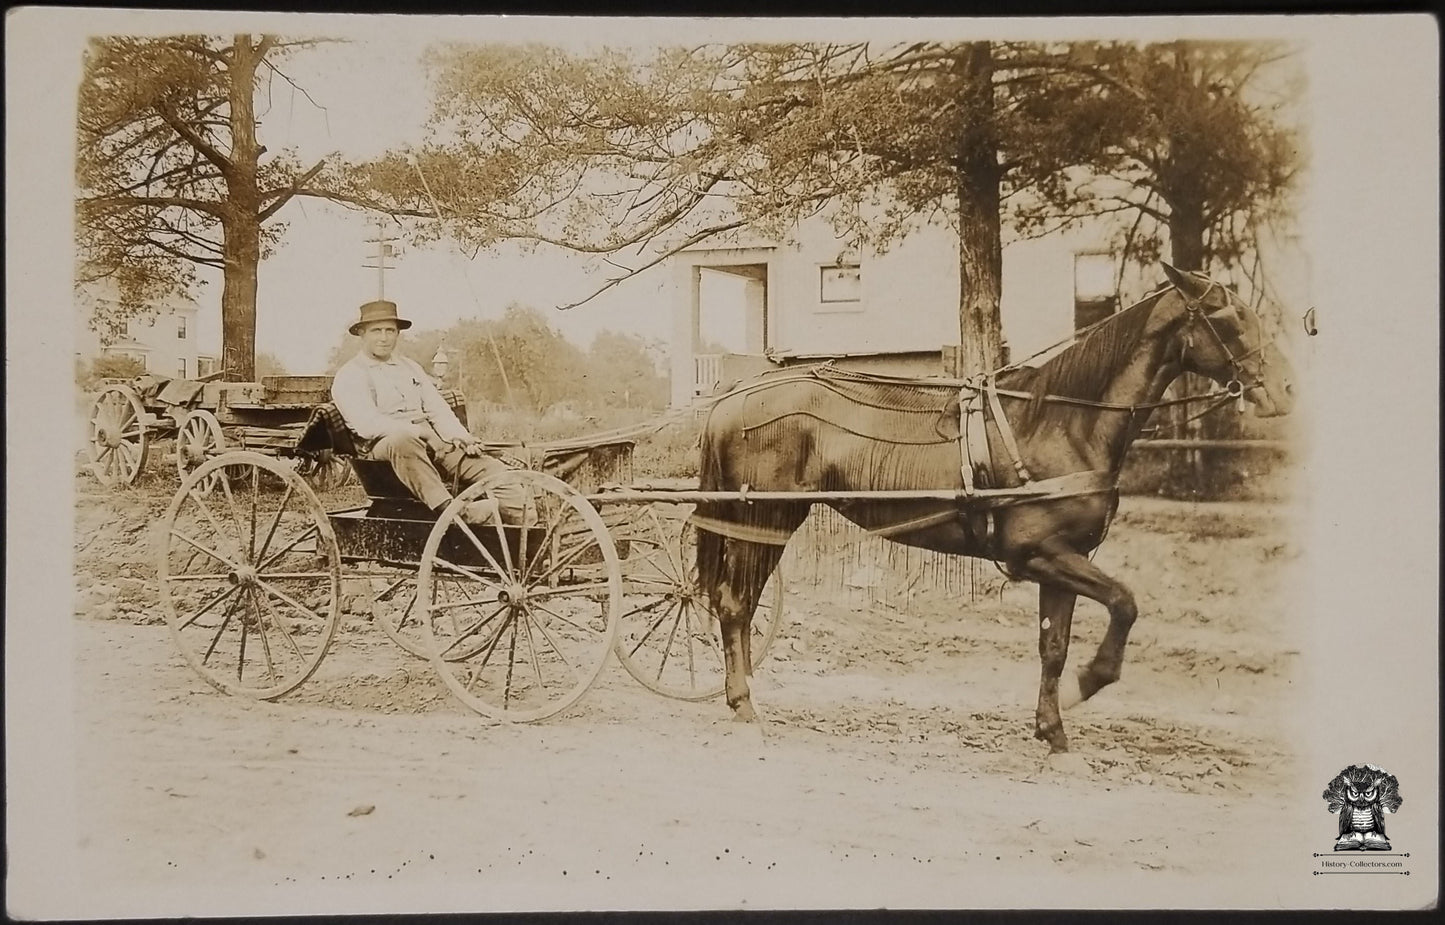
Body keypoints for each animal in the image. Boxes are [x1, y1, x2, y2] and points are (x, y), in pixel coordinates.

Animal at [693, 263, 1295, 753]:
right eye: (1228, 315)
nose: (1285, 388)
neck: (1062, 422)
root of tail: (733, 396)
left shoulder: (1064, 560)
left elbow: (1053, 646)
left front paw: (1053, 731)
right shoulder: (1040, 553)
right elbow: (1124, 604)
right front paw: (1088, 682)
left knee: (734, 604)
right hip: (763, 520)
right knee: (735, 604)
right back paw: (743, 705)